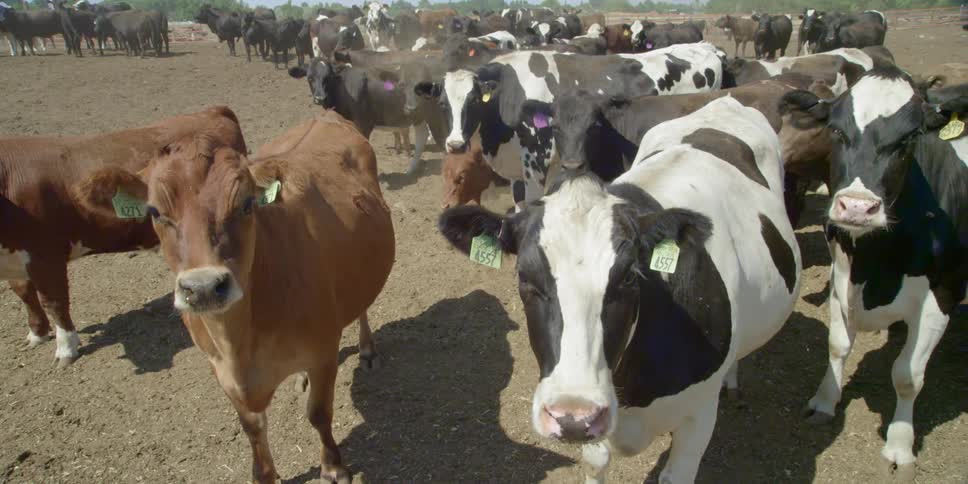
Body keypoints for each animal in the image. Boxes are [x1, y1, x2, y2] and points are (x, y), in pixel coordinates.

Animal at [0, 107, 245, 366]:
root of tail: (212, 110)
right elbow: (23, 291)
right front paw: (37, 333)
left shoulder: (46, 256)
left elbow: (54, 302)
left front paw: (65, 348)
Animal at [73, 110, 395, 484]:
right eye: (154, 212)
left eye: (246, 204)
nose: (203, 288)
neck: (240, 341)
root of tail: (325, 115)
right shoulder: (219, 367)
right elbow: (252, 426)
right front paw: (264, 475)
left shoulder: (323, 353)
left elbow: (318, 413)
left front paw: (333, 466)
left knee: (362, 309)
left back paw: (368, 350)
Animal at [414, 42, 725, 207]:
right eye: (443, 104)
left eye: (475, 100)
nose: (455, 144)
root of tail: (703, 46)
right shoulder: (518, 171)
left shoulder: (536, 163)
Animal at [437, 95, 801, 483]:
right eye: (524, 277)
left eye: (628, 277)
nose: (572, 417)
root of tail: (725, 101)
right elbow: (595, 462)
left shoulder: (699, 414)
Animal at [780, 67, 966, 479]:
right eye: (836, 130)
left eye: (910, 137)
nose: (856, 207)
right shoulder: (840, 280)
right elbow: (838, 345)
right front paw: (824, 402)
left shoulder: (941, 296)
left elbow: (907, 375)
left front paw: (899, 446)